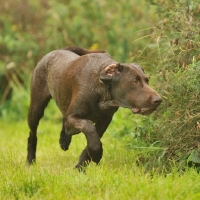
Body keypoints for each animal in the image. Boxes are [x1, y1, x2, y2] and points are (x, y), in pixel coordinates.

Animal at [26, 45, 162, 170]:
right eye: (134, 81)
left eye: (147, 80)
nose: (158, 100)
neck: (101, 88)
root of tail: (56, 51)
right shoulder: (74, 117)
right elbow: (88, 125)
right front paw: (96, 154)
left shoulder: (105, 120)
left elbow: (92, 140)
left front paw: (81, 166)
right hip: (36, 109)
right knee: (32, 135)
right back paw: (30, 161)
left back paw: (64, 140)